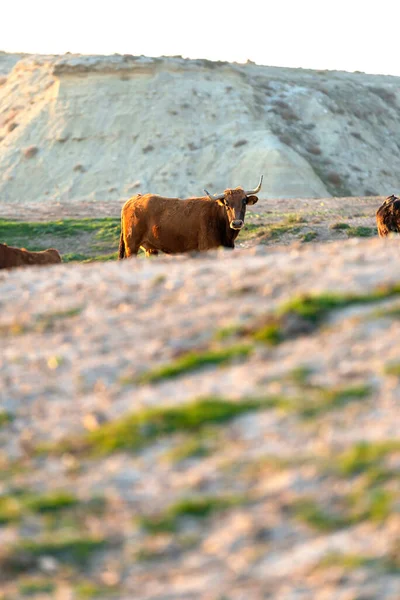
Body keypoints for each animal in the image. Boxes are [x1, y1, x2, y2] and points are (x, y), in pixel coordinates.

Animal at [119, 175, 262, 256]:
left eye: (244, 201)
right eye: (227, 203)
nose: (236, 223)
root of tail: (134, 199)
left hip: (151, 249)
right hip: (131, 246)